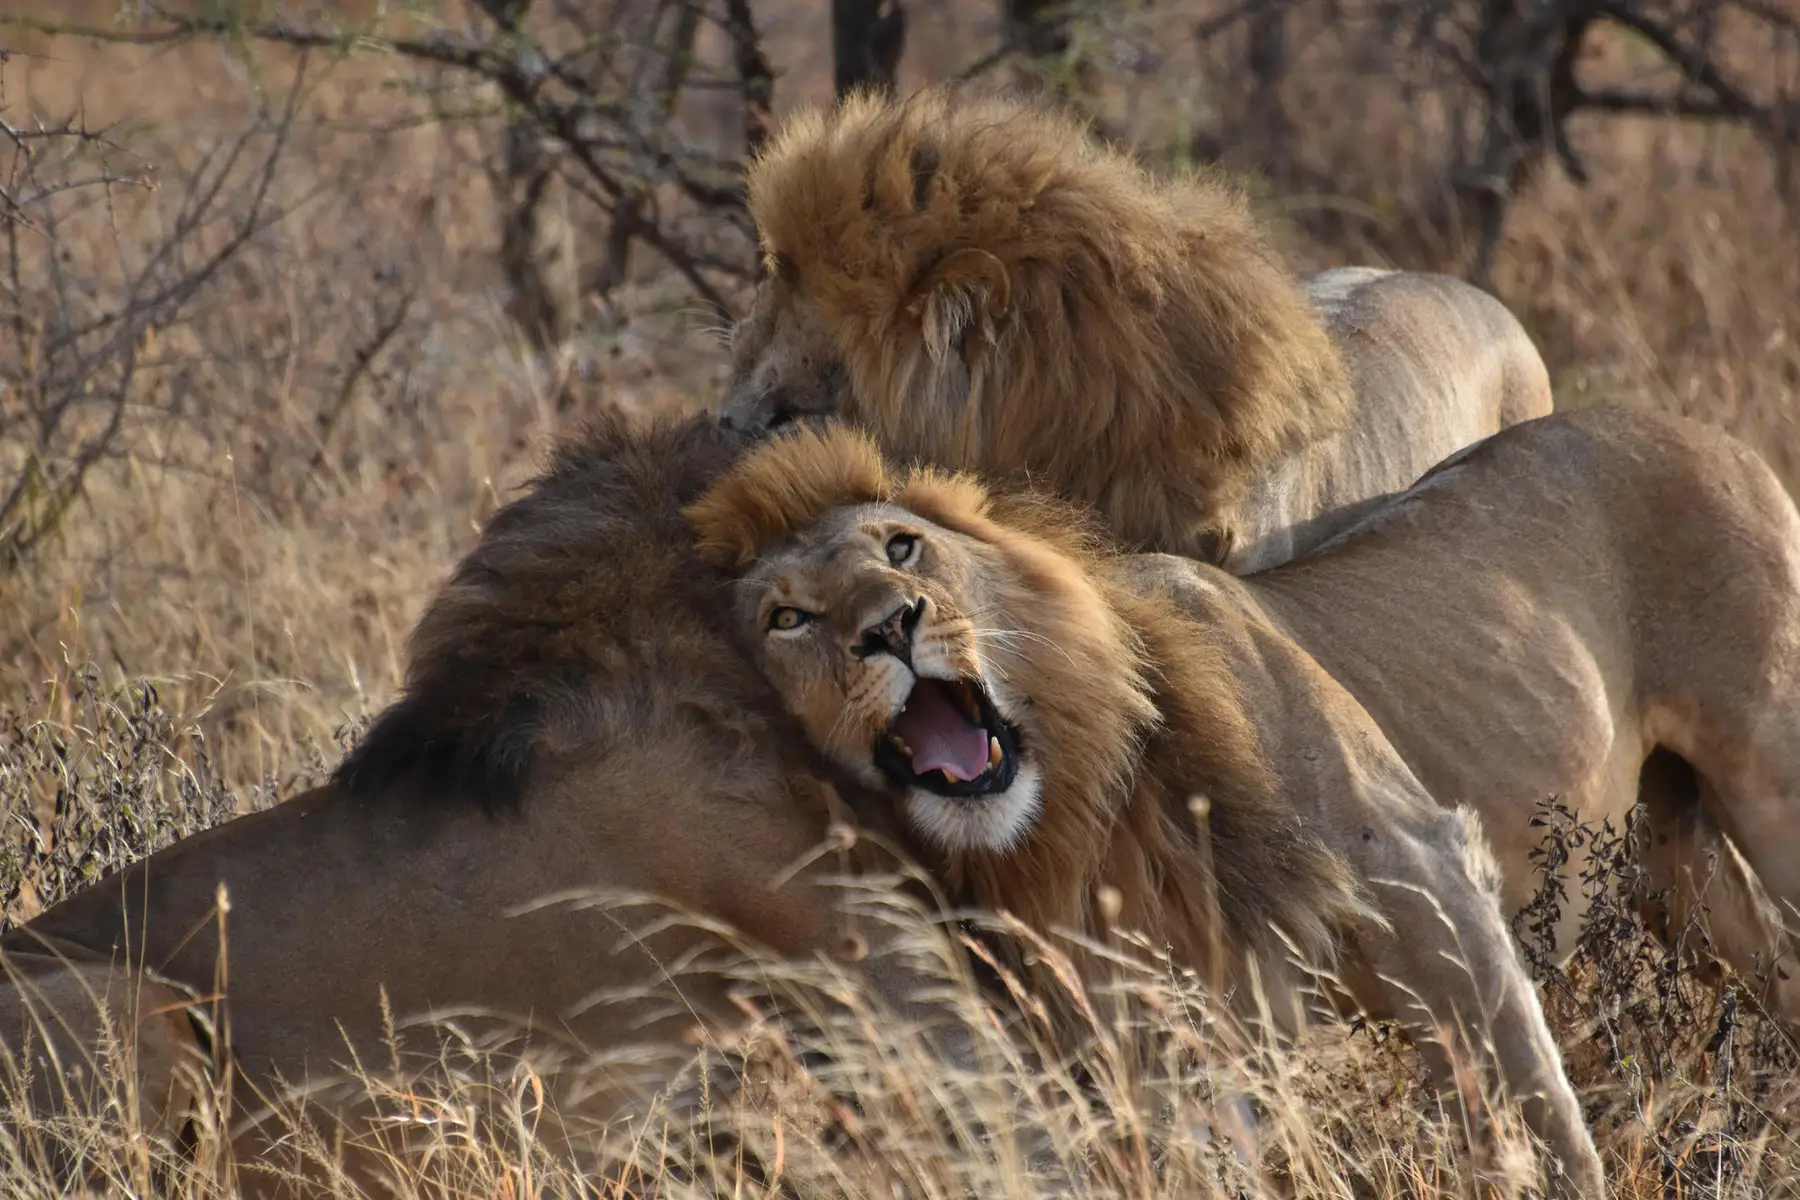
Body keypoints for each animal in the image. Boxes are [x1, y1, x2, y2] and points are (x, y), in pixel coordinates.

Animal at [686, 409, 1800, 1195]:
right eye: (787, 618)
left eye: (901, 547)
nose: (891, 625)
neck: (1080, 810)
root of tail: (1697, 424)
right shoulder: (1152, 1042)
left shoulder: (1422, 866)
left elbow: (1533, 1109)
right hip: (1676, 874)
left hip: (1768, 779)